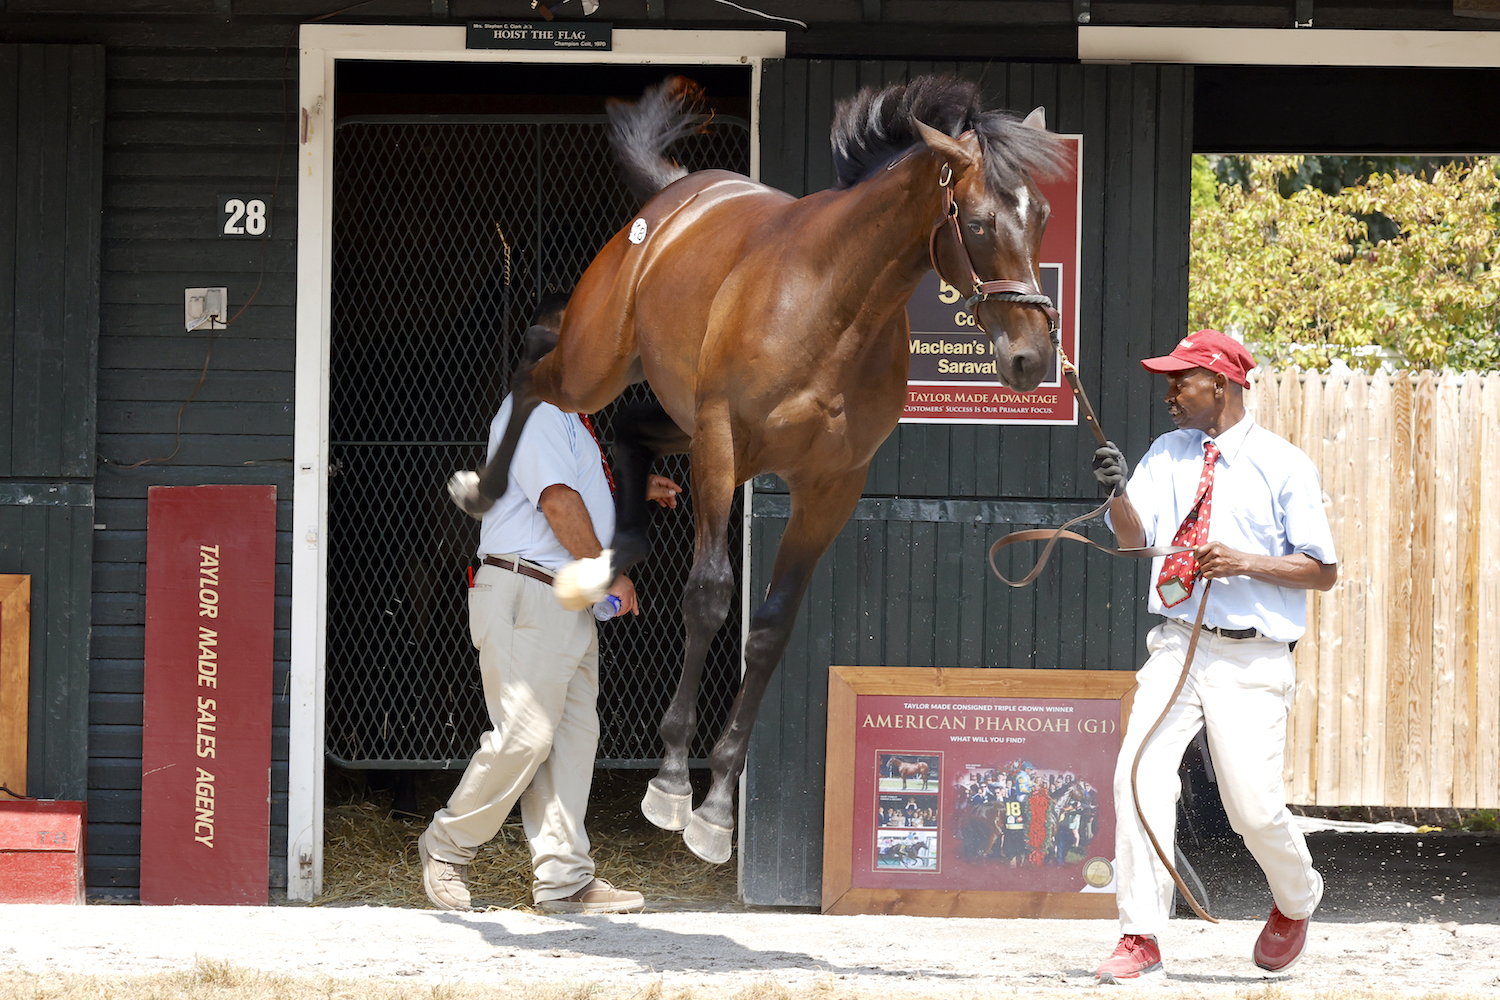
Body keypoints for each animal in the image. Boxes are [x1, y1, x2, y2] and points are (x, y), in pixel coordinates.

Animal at [444, 78, 1068, 863]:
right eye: (979, 224)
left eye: (1042, 216)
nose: (1031, 360)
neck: (835, 302)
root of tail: (675, 196)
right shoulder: (721, 445)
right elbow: (710, 597)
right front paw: (672, 780)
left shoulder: (830, 487)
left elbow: (769, 629)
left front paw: (716, 808)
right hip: (599, 365)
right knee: (533, 367)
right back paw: (483, 487)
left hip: (668, 409)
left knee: (626, 431)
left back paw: (605, 561)